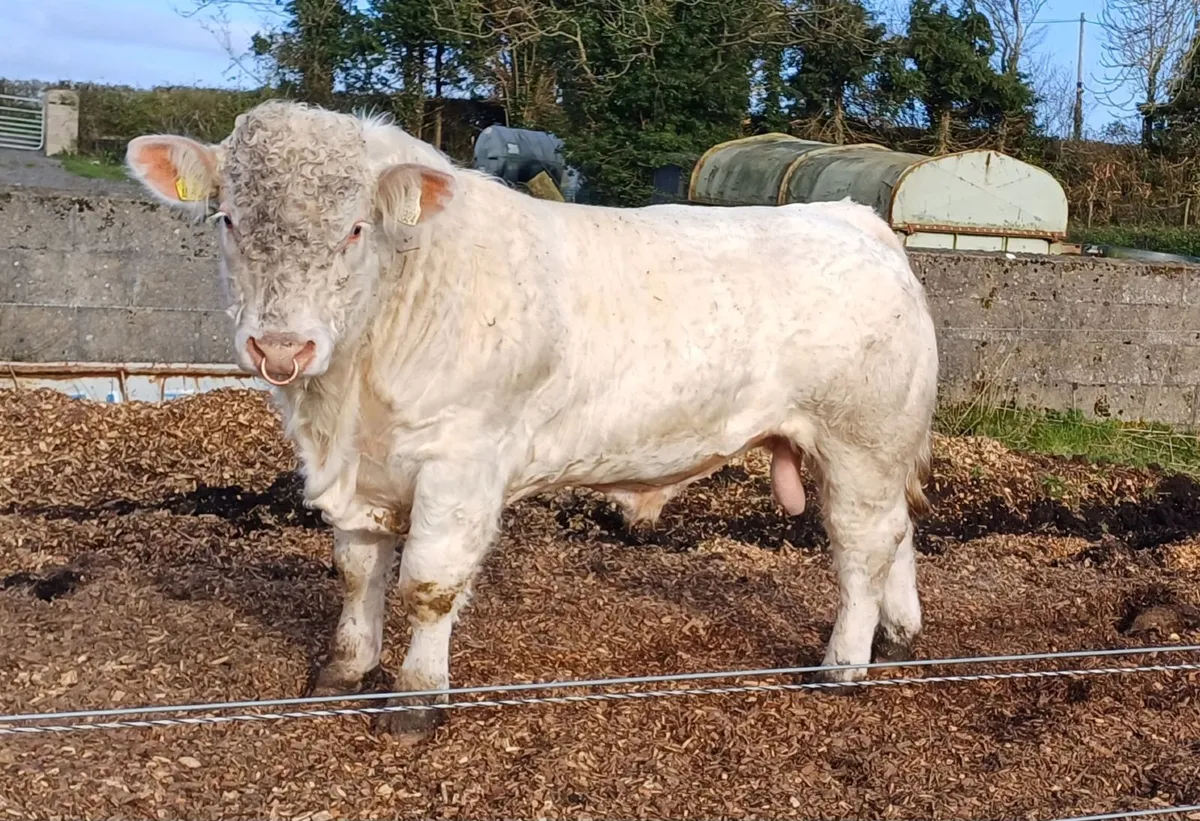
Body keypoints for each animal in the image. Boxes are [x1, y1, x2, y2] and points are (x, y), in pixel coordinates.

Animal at [126, 100, 938, 738]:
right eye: (228, 219)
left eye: (355, 229)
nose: (280, 346)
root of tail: (852, 218)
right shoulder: (361, 471)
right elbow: (357, 570)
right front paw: (345, 668)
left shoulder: (461, 461)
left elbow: (428, 583)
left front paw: (415, 701)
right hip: (874, 449)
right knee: (896, 532)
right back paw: (899, 635)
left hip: (859, 440)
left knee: (861, 546)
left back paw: (843, 664)